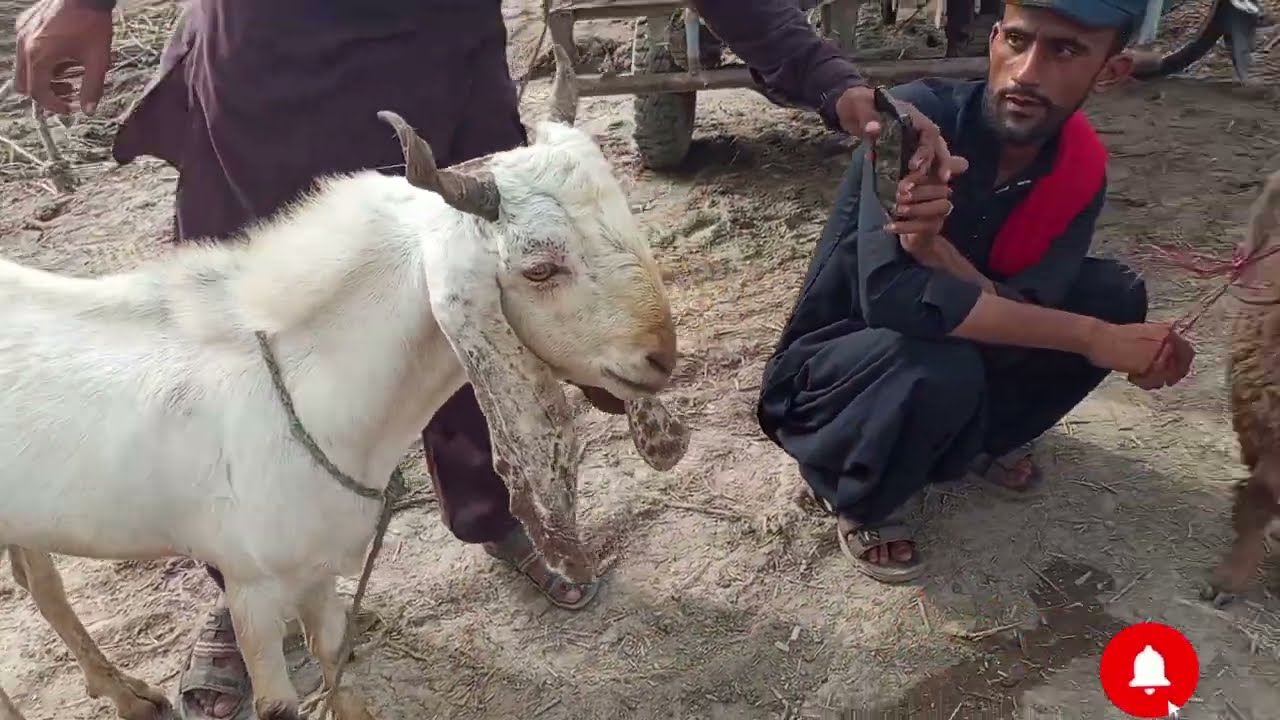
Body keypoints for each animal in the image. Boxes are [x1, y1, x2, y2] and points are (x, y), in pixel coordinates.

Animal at [0, 46, 688, 720]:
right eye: (540, 269)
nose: (660, 358)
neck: (305, 392)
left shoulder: (320, 567)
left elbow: (334, 661)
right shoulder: (250, 586)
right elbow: (277, 701)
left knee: (40, 580)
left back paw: (129, 694)